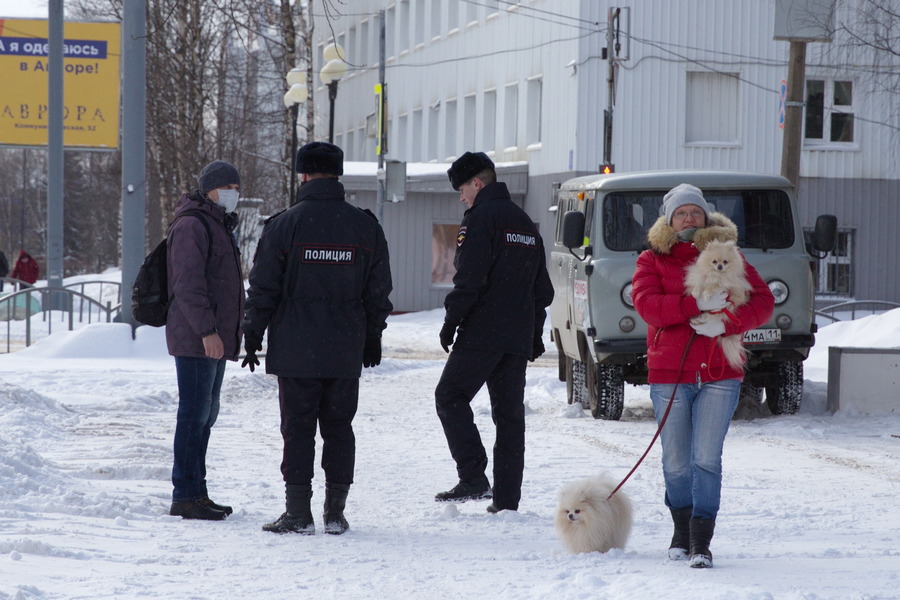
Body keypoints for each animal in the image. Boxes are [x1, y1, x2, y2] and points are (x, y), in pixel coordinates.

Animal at [684, 239, 756, 370]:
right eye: (714, 261)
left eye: (725, 261)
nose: (720, 266)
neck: (715, 273)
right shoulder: (701, 277)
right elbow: (698, 284)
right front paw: (696, 294)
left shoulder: (723, 285)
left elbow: (712, 286)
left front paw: (706, 295)